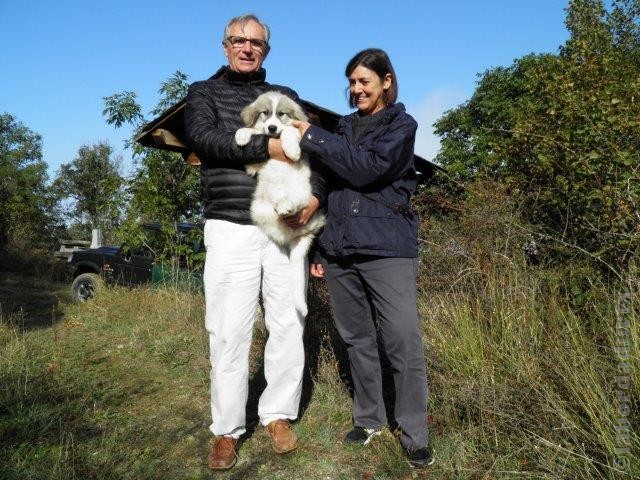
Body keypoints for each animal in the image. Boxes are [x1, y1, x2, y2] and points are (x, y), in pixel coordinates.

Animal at [234, 91, 324, 316]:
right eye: (265, 113)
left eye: (281, 114)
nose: (273, 128)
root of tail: (303, 234)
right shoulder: (253, 165)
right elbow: (256, 131)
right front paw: (242, 134)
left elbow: (291, 130)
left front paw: (291, 149)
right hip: (258, 209)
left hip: (305, 194)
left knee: (296, 202)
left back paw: (285, 205)